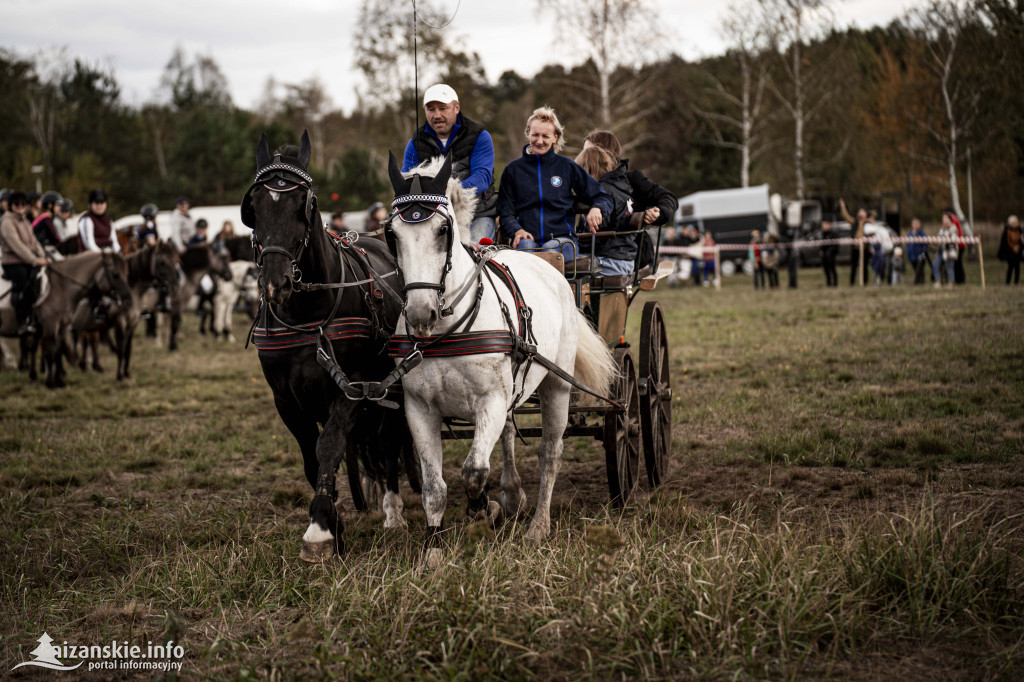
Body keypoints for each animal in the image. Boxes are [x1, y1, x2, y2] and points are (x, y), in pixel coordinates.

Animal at [241, 130, 417, 561]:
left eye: (304, 204)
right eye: (253, 206)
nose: (277, 282)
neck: (307, 314)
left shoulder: (353, 388)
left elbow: (331, 446)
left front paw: (320, 528)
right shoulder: (286, 399)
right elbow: (311, 458)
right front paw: (334, 523)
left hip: (391, 390)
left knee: (389, 443)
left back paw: (393, 511)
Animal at [385, 153, 614, 561]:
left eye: (443, 230)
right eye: (392, 234)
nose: (420, 314)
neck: (448, 332)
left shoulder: (489, 400)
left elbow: (474, 470)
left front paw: (481, 510)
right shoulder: (419, 407)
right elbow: (434, 486)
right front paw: (433, 550)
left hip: (557, 385)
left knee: (549, 453)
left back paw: (538, 525)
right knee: (508, 433)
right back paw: (512, 494)